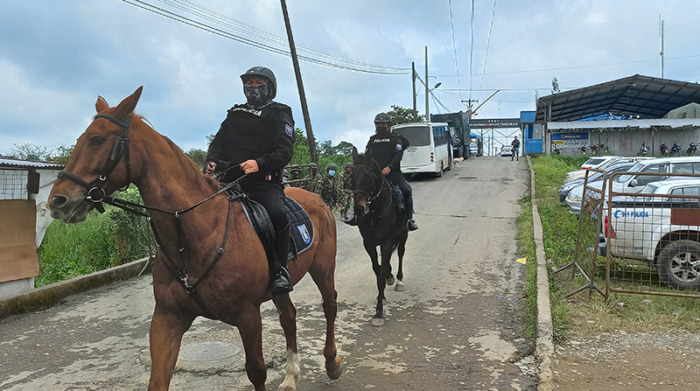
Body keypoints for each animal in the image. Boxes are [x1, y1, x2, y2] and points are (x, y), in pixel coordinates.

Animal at [46, 87, 342, 390]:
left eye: (97, 140)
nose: (58, 201)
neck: (195, 233)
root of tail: (316, 198)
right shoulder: (167, 318)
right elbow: (158, 379)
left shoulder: (248, 316)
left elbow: (257, 371)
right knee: (289, 317)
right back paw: (291, 375)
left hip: (322, 268)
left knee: (329, 304)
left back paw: (332, 363)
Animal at [352, 147, 408, 328]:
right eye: (351, 175)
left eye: (369, 175)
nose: (359, 208)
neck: (375, 212)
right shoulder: (369, 244)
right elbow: (378, 270)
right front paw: (381, 295)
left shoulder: (386, 242)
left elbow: (382, 272)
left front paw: (378, 312)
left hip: (403, 234)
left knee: (401, 254)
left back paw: (399, 281)